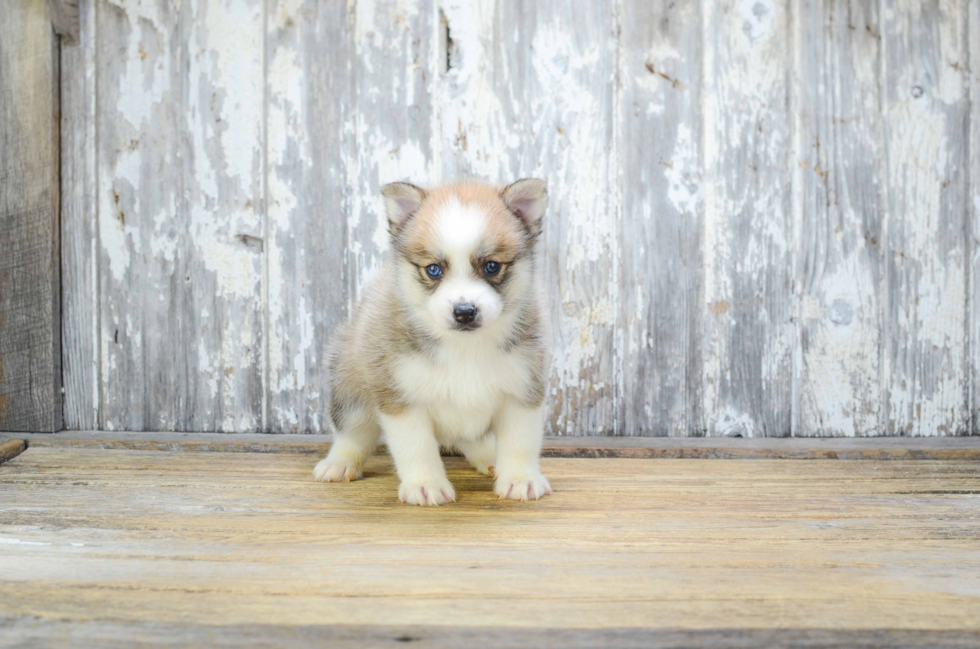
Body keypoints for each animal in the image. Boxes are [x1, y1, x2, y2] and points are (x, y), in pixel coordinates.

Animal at [318, 178, 556, 506]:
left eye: (492, 266)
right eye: (433, 269)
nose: (465, 312)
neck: (465, 346)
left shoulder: (523, 391)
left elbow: (521, 442)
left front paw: (521, 479)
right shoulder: (401, 399)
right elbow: (416, 447)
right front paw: (425, 484)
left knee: (471, 438)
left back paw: (487, 456)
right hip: (350, 388)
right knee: (352, 433)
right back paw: (339, 463)